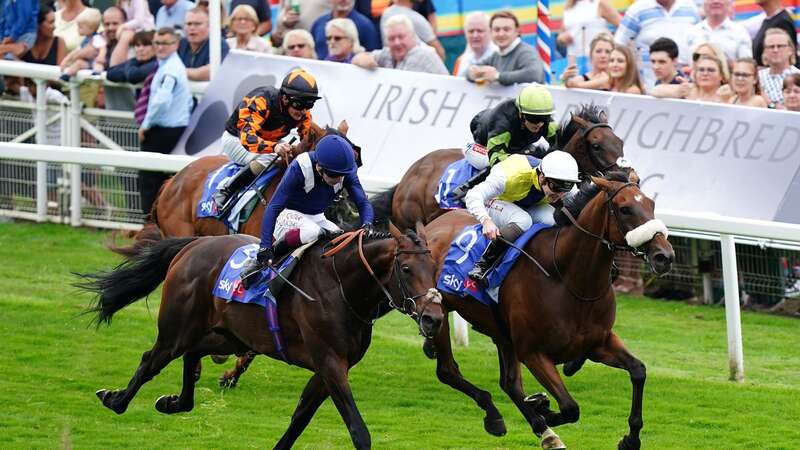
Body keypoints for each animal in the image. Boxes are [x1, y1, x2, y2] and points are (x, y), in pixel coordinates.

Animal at [77, 223, 444, 448]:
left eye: (436, 269)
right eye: (406, 269)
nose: (434, 318)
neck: (340, 287)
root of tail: (196, 243)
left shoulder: (330, 368)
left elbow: (300, 418)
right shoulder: (329, 362)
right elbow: (358, 430)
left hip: (231, 335)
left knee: (193, 353)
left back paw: (173, 402)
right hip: (177, 329)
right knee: (151, 359)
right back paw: (115, 399)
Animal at [422, 174, 672, 448]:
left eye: (651, 204)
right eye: (625, 208)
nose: (664, 256)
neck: (569, 280)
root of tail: (431, 226)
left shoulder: (599, 342)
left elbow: (638, 370)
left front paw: (631, 439)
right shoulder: (533, 353)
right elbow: (570, 408)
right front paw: (543, 407)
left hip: (502, 334)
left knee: (509, 383)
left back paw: (543, 431)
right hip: (440, 312)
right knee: (448, 370)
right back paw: (498, 416)